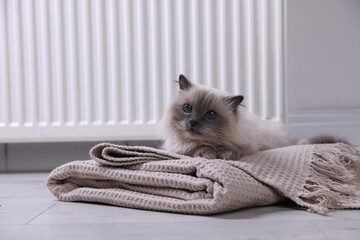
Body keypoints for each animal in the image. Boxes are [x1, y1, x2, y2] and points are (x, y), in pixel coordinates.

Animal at [160, 73, 346, 159]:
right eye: (187, 108)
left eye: (210, 115)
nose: (193, 122)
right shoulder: (179, 148)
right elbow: (195, 148)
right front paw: (208, 154)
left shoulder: (249, 147)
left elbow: (232, 150)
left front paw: (224, 155)